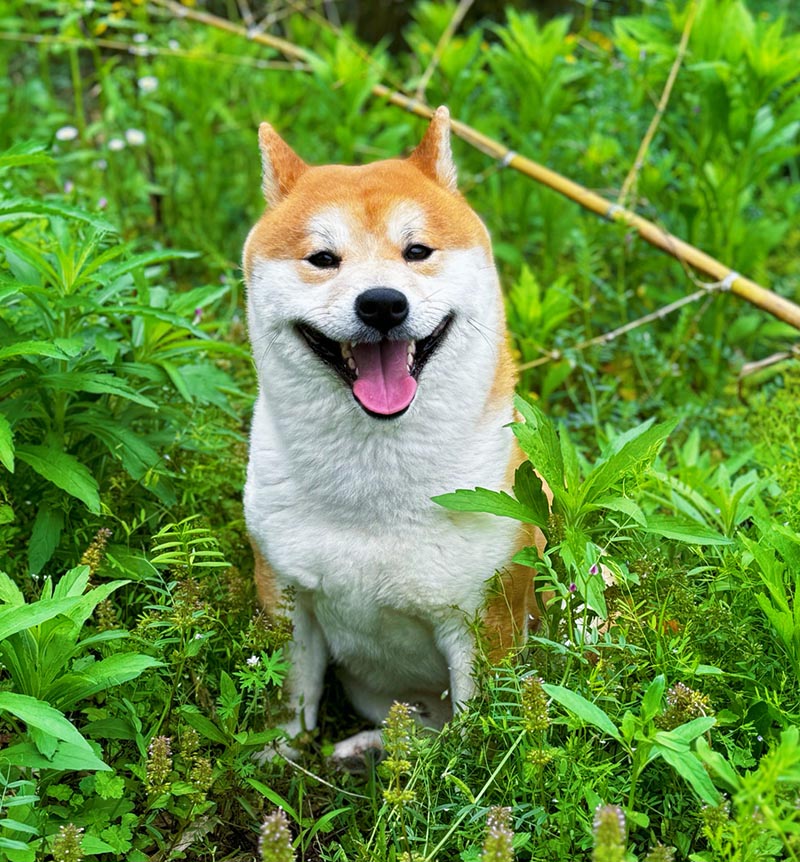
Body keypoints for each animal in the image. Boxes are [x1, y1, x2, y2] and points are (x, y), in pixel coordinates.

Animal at [242, 108, 544, 764]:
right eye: (322, 258)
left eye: (417, 251)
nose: (382, 303)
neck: (374, 488)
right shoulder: (286, 597)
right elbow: (290, 703)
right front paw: (276, 762)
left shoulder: (484, 622)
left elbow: (471, 746)